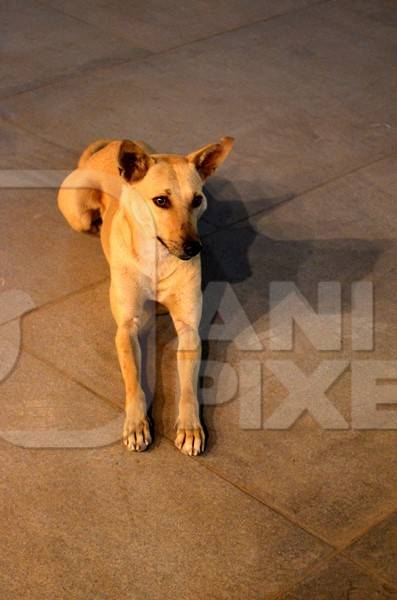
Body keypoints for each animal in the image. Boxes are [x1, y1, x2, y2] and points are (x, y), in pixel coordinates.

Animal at [57, 136, 234, 454]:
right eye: (161, 201)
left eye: (197, 200)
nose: (193, 248)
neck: (158, 256)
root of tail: (109, 145)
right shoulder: (126, 327)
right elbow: (132, 379)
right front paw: (137, 423)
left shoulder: (189, 331)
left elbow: (188, 386)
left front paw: (190, 426)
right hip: (77, 212)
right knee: (89, 221)